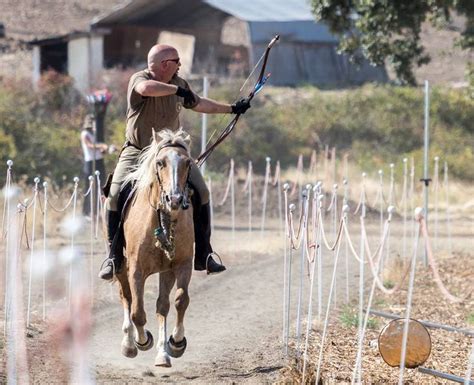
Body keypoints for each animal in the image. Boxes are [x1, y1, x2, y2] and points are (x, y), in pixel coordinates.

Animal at [117, 129, 193, 366]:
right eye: (160, 162)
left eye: (188, 162)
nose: (174, 199)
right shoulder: (135, 269)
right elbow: (137, 312)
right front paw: (142, 341)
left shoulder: (181, 265)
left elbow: (179, 301)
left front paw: (176, 343)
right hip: (120, 266)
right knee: (126, 297)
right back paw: (129, 345)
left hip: (165, 271)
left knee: (162, 306)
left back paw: (162, 354)